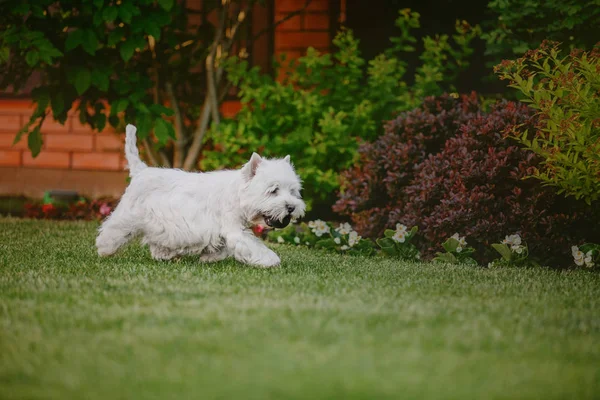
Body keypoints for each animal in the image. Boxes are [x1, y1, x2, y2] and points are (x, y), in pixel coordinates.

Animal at [96, 123, 308, 268]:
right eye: (273, 190)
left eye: (293, 191)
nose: (291, 207)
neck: (237, 194)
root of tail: (141, 171)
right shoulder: (233, 228)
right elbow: (251, 244)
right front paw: (270, 260)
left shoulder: (222, 229)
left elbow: (222, 247)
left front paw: (208, 257)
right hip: (129, 214)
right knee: (113, 228)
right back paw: (104, 248)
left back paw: (164, 254)